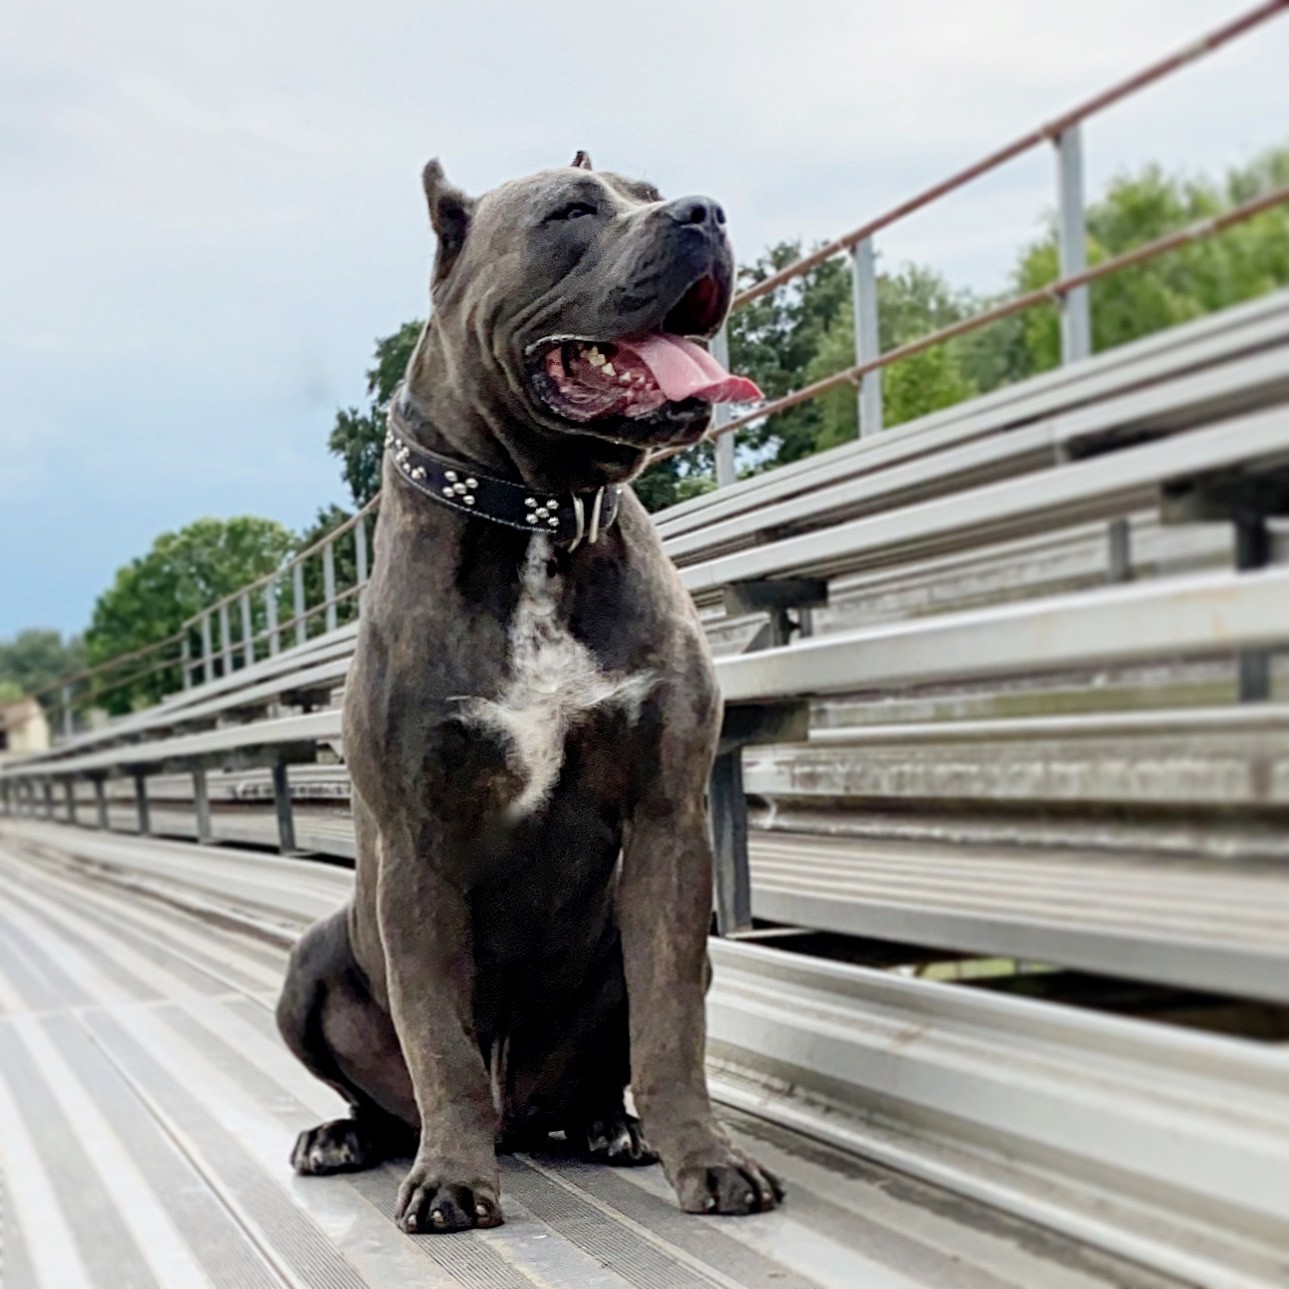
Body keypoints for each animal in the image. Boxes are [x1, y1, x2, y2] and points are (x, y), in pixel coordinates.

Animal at [277, 153, 778, 1237]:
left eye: (655, 192)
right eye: (570, 213)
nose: (706, 213)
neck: (546, 512)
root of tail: (527, 1116)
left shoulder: (668, 823)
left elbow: (672, 1028)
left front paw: (706, 1156)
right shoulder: (416, 847)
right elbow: (441, 1044)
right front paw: (450, 1176)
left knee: (607, 1060)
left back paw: (607, 1124)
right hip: (311, 959)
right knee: (383, 1093)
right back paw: (345, 1135)